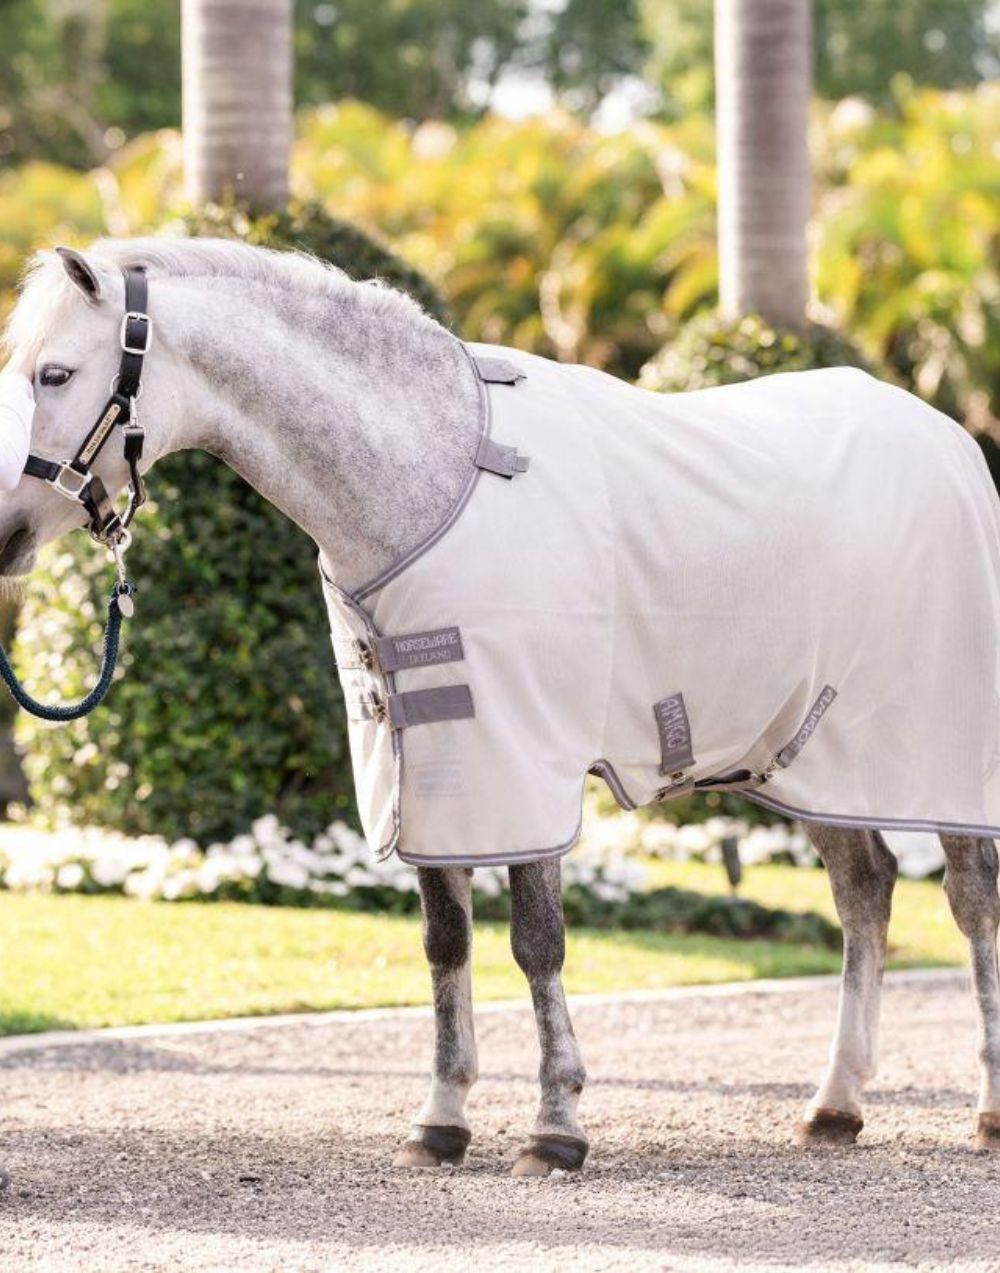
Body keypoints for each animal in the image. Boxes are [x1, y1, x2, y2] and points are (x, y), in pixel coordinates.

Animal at [0, 237, 998, 1178]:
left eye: (55, 374)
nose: (4, 531)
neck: (434, 475)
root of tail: (952, 440)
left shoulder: (523, 759)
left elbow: (536, 942)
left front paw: (556, 1127)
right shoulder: (431, 758)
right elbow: (446, 942)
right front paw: (441, 1121)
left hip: (943, 757)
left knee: (968, 900)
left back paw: (985, 1107)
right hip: (809, 757)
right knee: (865, 890)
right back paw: (835, 1104)